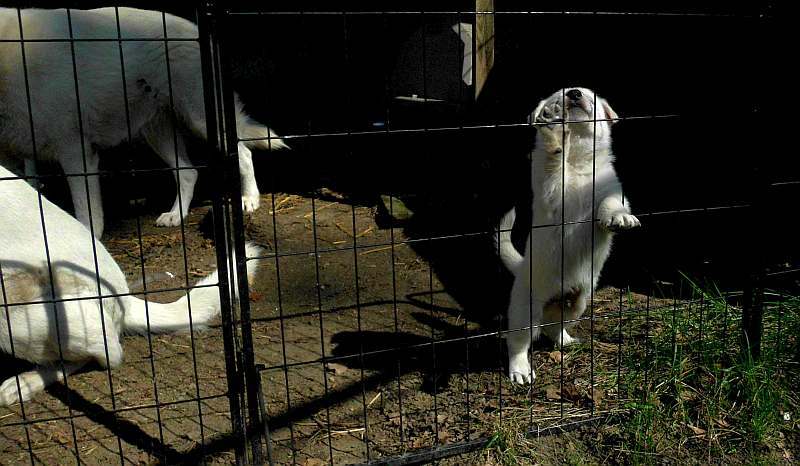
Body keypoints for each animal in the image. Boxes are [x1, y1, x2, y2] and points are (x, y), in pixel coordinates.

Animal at [0, 7, 288, 238]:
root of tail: (194, 30)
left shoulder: (76, 154)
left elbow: (87, 217)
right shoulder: (19, 159)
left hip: (202, 122)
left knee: (244, 153)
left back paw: (249, 199)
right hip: (157, 132)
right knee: (188, 172)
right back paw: (176, 215)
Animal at [496, 86, 640, 382]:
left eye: (590, 96)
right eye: (556, 98)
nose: (574, 93)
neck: (578, 162)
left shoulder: (610, 189)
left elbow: (610, 204)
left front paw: (619, 217)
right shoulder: (552, 192)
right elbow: (554, 164)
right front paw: (553, 134)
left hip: (579, 303)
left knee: (554, 325)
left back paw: (565, 340)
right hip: (524, 309)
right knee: (518, 341)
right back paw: (520, 369)